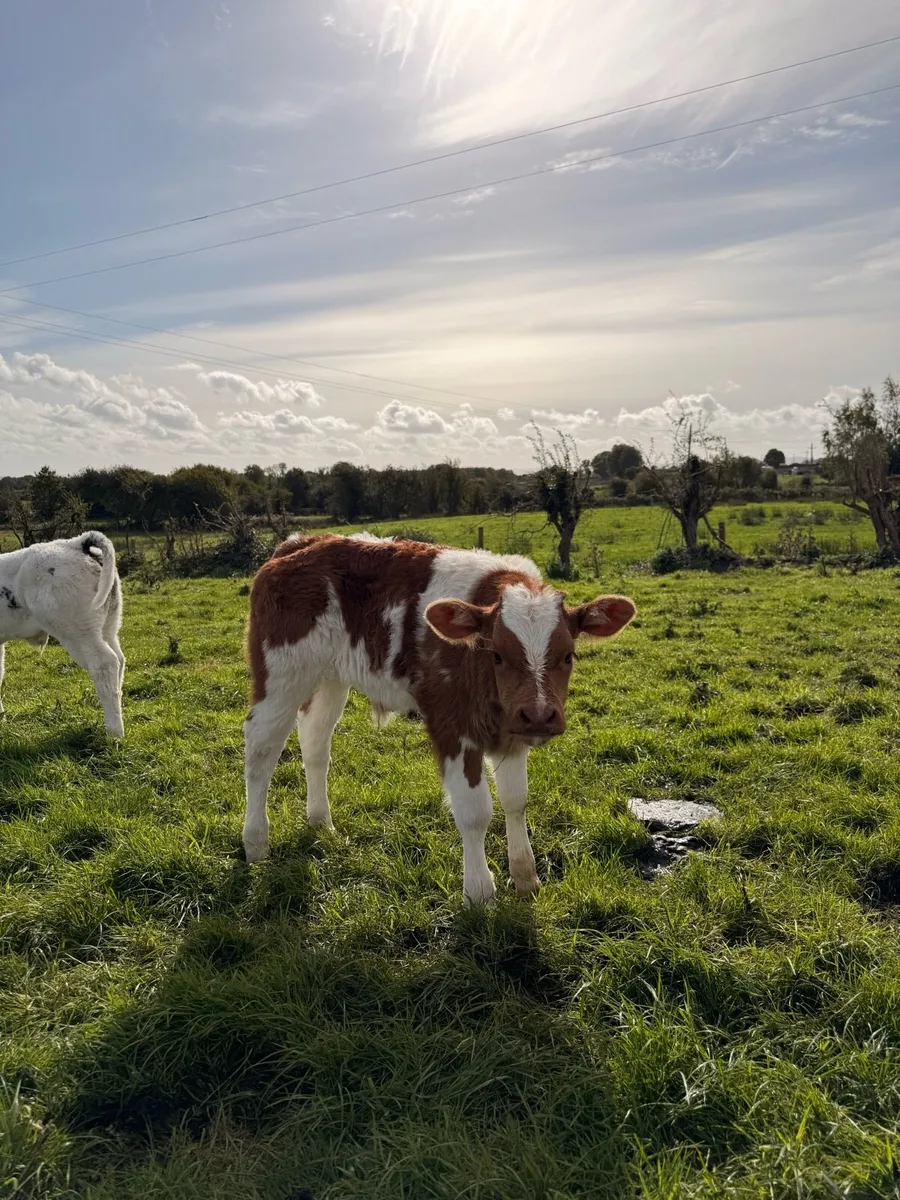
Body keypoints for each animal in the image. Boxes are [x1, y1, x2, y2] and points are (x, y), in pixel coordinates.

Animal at [0, 532, 125, 737]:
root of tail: (76, 542)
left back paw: (114, 731)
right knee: (119, 660)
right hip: (109, 626)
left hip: (79, 633)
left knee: (104, 663)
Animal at [242, 533, 635, 904]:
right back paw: (256, 842)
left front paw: (525, 877)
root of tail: (302, 543)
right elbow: (475, 812)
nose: (539, 714)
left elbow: (516, 800)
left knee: (315, 743)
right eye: (497, 655)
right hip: (281, 674)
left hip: (329, 678)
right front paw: (479, 894)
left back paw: (321, 821)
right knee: (261, 749)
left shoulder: (513, 731)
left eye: (568, 655)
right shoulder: (453, 726)